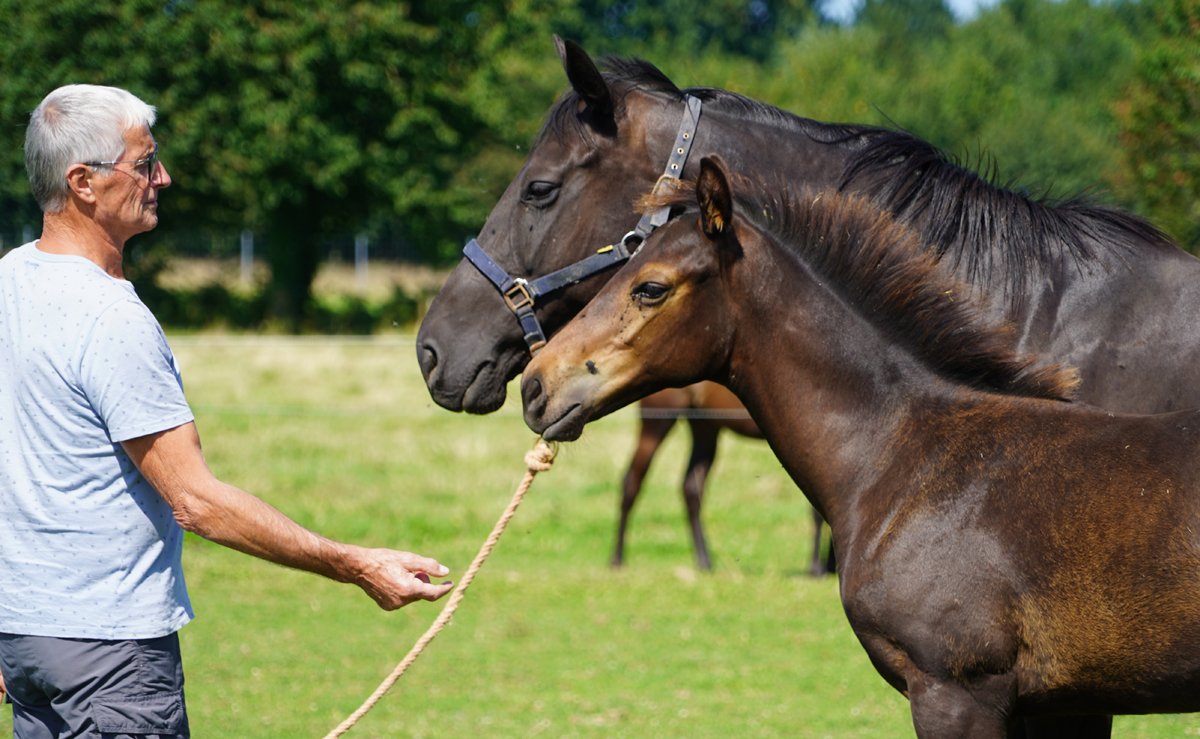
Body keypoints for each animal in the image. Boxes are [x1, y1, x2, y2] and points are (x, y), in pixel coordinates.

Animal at [622, 383, 835, 574]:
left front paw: (829, 566)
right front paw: (816, 567)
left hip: (704, 428)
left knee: (691, 487)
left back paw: (704, 562)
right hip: (657, 422)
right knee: (632, 479)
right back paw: (618, 559)